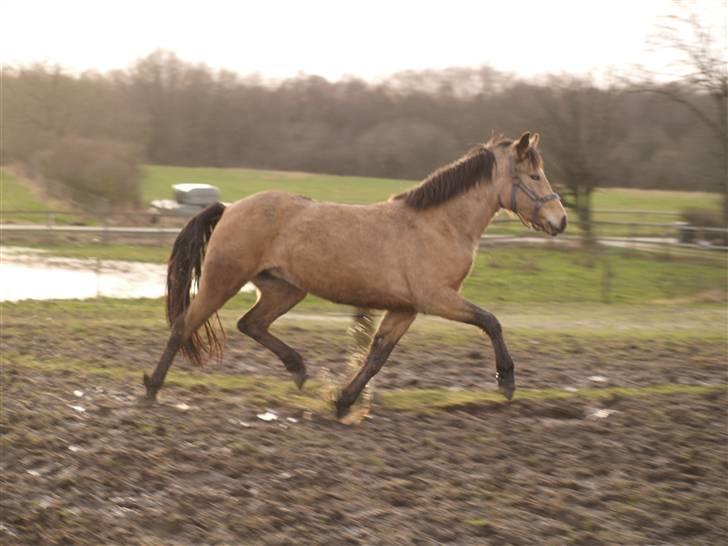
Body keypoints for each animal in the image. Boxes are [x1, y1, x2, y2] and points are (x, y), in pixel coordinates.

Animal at [141, 132, 564, 416]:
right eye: (536, 176)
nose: (560, 220)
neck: (438, 224)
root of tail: (229, 208)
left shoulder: (405, 309)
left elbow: (377, 355)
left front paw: (343, 401)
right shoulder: (437, 299)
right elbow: (491, 321)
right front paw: (506, 381)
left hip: (284, 289)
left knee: (251, 323)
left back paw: (298, 370)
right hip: (223, 280)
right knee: (184, 325)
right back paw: (152, 388)